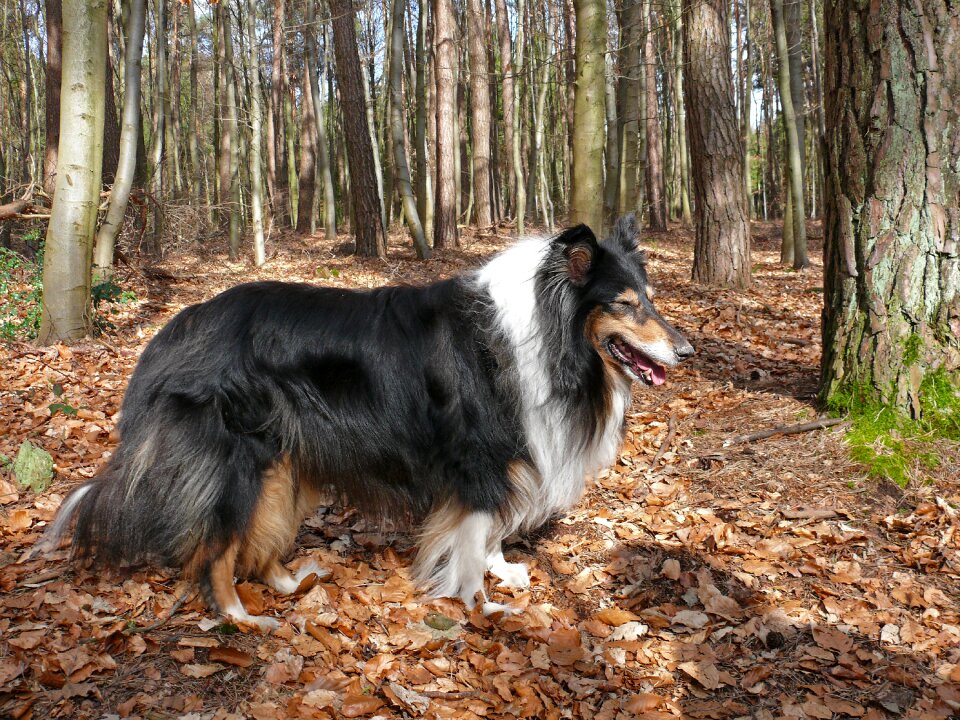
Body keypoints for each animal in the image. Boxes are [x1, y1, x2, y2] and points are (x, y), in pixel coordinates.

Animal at [45, 215, 692, 632]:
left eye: (650, 297)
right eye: (625, 303)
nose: (686, 351)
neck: (545, 332)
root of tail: (175, 328)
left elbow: (487, 534)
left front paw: (501, 570)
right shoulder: (476, 459)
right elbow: (472, 537)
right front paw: (480, 605)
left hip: (286, 460)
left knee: (258, 538)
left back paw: (292, 584)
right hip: (239, 460)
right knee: (217, 548)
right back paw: (239, 617)